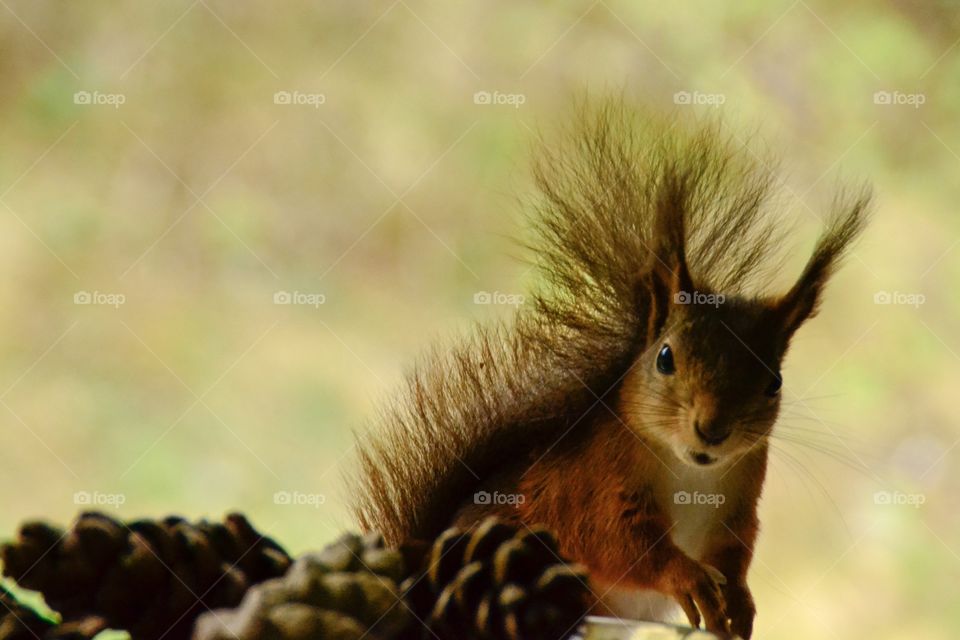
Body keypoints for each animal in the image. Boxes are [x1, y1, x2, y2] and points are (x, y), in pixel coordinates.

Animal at [346, 102, 872, 636]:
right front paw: (688, 578)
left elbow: (733, 556)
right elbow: (618, 543)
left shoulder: (740, 506)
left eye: (774, 382)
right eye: (665, 357)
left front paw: (739, 603)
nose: (713, 429)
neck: (693, 474)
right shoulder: (593, 486)